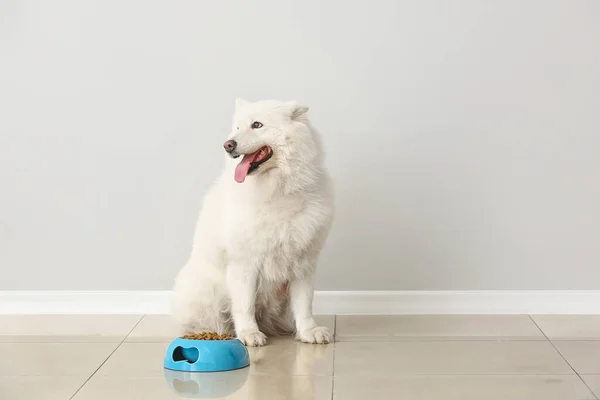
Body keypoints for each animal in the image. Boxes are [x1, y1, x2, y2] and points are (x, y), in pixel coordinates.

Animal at [171, 98, 336, 346]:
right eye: (237, 128)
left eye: (257, 125)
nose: (227, 145)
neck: (278, 189)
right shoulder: (245, 263)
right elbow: (244, 304)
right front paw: (249, 334)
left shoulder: (303, 261)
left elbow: (304, 304)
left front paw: (309, 332)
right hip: (208, 292)